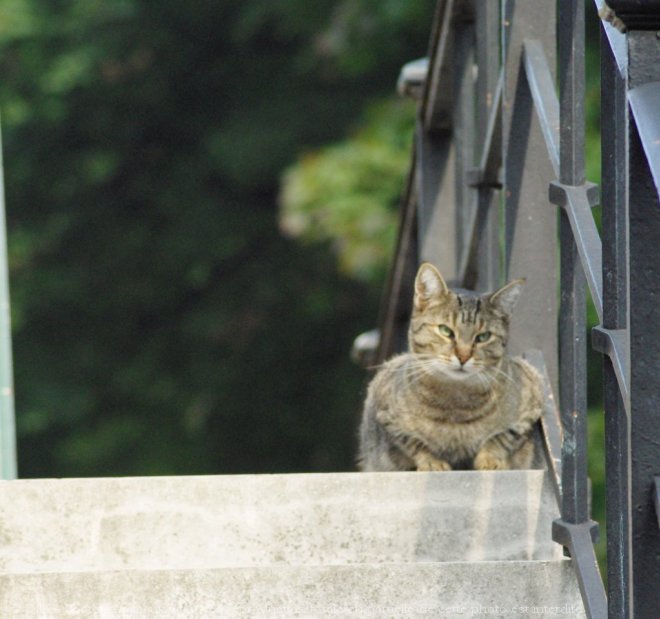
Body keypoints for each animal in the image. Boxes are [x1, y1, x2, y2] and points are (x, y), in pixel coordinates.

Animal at [358, 264, 544, 472]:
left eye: (483, 337)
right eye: (445, 331)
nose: (463, 356)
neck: (456, 402)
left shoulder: (532, 399)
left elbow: (502, 436)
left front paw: (490, 459)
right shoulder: (384, 412)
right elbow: (414, 442)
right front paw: (431, 462)